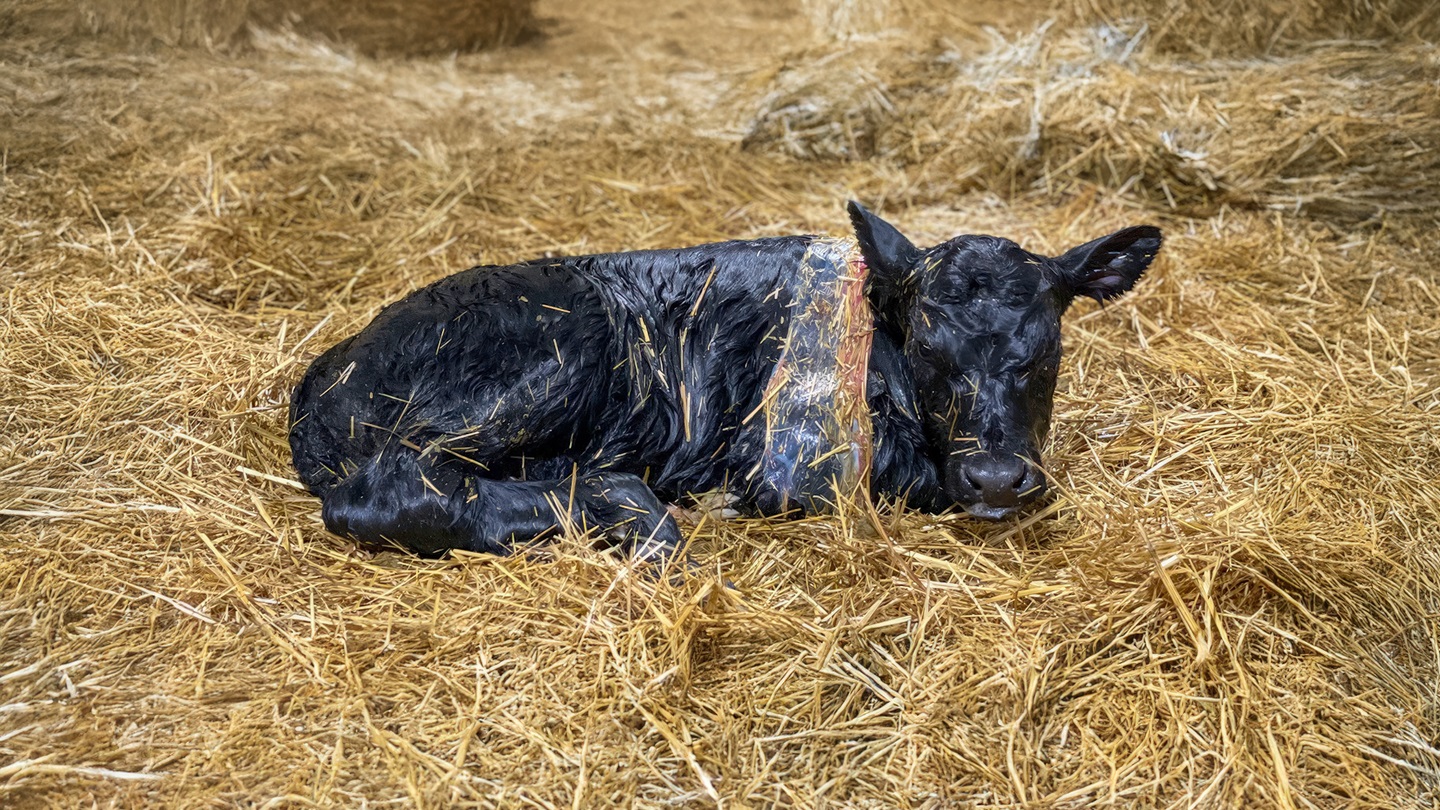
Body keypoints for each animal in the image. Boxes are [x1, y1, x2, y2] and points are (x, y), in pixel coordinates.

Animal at [288, 202, 1162, 570]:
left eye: (1044, 346)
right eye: (927, 346)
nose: (995, 476)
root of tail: (330, 364)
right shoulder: (784, 459)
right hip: (549, 359)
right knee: (390, 491)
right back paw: (633, 513)